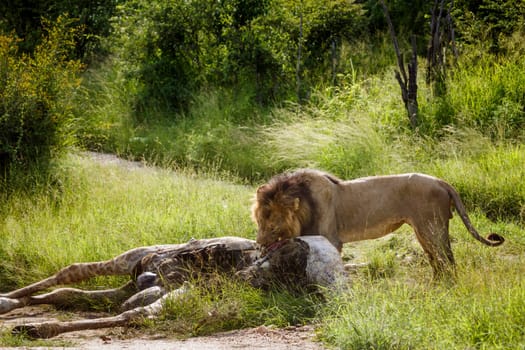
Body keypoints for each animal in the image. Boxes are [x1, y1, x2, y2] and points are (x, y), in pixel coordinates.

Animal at [252, 170, 506, 278]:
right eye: (259, 222)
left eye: (273, 227)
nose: (259, 243)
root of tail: (441, 181)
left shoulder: (331, 239)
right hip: (423, 232)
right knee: (438, 262)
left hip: (432, 228)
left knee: (447, 261)